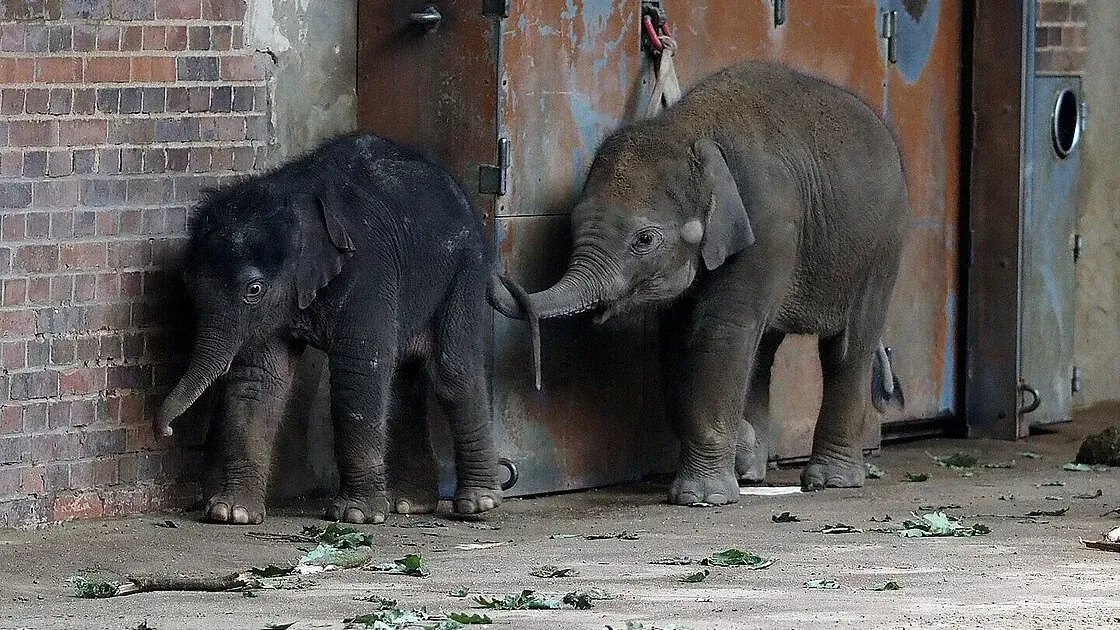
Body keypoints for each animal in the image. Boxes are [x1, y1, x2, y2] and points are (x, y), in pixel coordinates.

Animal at [157, 130, 515, 522]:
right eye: (189, 285)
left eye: (254, 290)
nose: (166, 430)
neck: (294, 198)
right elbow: (259, 377)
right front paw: (231, 512)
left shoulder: (369, 270)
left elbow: (358, 369)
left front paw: (356, 515)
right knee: (403, 379)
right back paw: (409, 503)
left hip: (464, 270)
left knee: (453, 372)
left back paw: (477, 504)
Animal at [490, 59, 900, 504]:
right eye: (573, 222)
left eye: (644, 240)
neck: (689, 129)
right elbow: (677, 341)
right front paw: (740, 447)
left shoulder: (770, 220)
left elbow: (719, 331)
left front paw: (703, 496)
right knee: (764, 349)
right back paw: (752, 472)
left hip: (881, 251)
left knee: (848, 347)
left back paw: (831, 480)